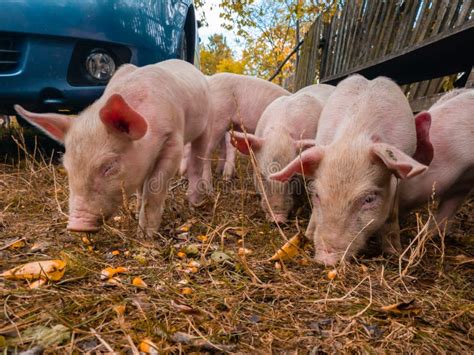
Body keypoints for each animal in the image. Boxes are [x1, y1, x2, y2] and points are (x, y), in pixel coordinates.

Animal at [15, 59, 211, 238]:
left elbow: (155, 187)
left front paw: (144, 237)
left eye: (109, 166)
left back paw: (193, 204)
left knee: (198, 160)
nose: (76, 225)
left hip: (205, 125)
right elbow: (142, 187)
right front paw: (137, 213)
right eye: (67, 167)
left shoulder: (173, 138)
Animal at [268, 75, 432, 266]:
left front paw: (396, 253)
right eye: (316, 195)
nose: (326, 259)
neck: (353, 139)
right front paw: (308, 235)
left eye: (369, 199)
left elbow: (392, 214)